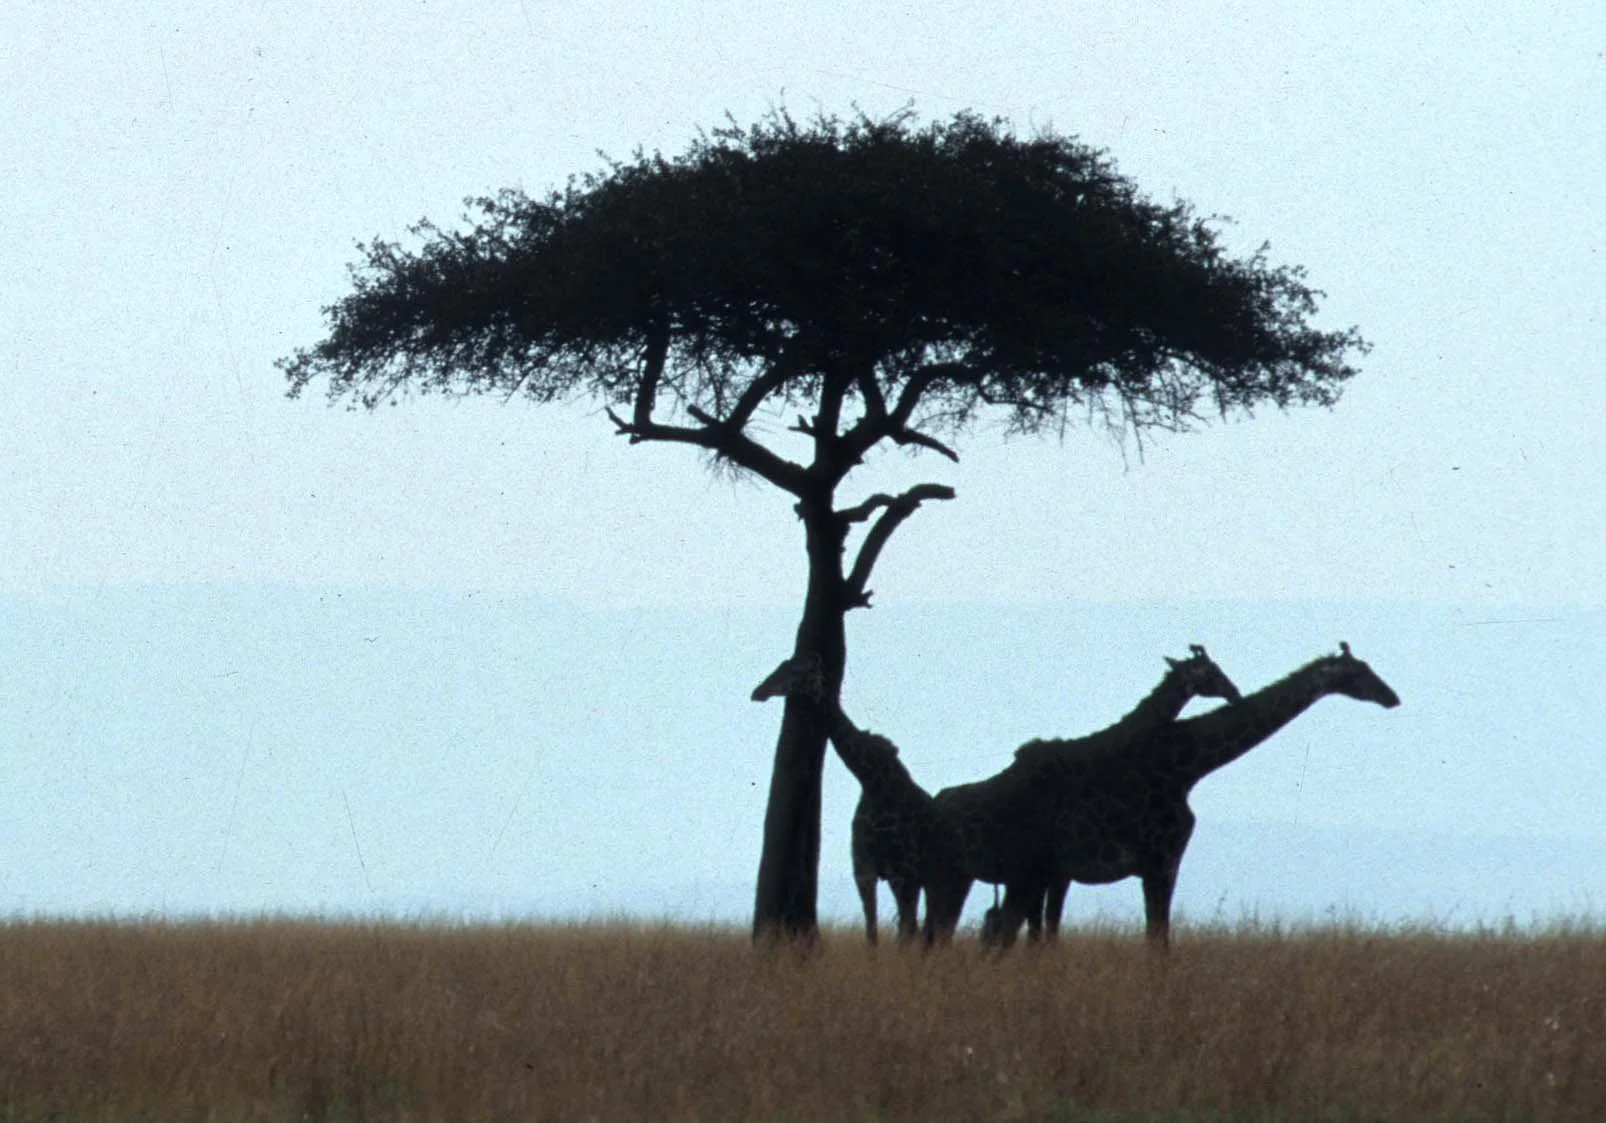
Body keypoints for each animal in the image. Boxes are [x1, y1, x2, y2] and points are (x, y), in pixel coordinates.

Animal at [751, 654, 970, 946]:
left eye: (794, 670)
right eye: (781, 665)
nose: (758, 691)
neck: (872, 782)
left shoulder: (903, 873)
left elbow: (904, 932)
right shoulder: (865, 871)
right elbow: (872, 931)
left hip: (947, 878)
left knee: (934, 927)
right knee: (933, 927)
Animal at [983, 643, 1401, 950]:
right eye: (1358, 672)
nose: (1392, 697)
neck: (1187, 770)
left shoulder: (1158, 863)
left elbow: (1157, 936)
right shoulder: (1161, 860)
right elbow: (1158, 938)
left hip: (1044, 874)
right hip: (1038, 871)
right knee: (1010, 928)